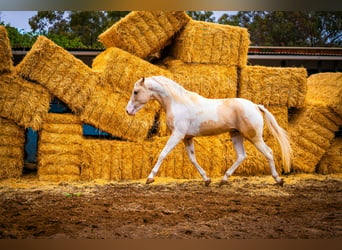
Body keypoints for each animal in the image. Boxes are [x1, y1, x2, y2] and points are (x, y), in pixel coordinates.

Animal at [125, 75, 292, 187]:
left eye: (136, 92)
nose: (128, 111)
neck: (178, 103)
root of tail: (256, 106)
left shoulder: (177, 135)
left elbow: (163, 154)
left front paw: (150, 178)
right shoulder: (187, 138)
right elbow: (193, 159)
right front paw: (207, 179)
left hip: (254, 137)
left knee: (269, 152)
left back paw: (278, 180)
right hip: (236, 135)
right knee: (241, 156)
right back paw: (223, 180)